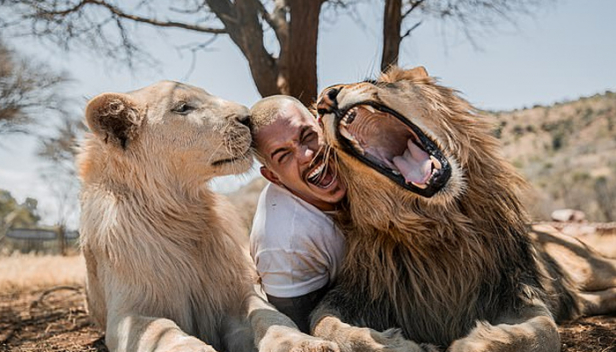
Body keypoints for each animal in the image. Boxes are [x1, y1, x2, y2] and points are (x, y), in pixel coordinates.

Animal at [76, 81, 336, 352]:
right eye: (183, 107)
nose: (247, 118)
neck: (181, 211)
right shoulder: (127, 314)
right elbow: (162, 331)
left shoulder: (237, 294)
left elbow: (269, 315)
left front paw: (299, 343)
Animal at [310, 66, 616, 352]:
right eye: (317, 114)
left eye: (372, 82)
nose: (324, 100)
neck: (439, 225)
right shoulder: (353, 293)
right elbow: (324, 324)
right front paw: (395, 344)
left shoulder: (519, 291)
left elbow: (542, 333)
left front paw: (474, 343)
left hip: (591, 266)